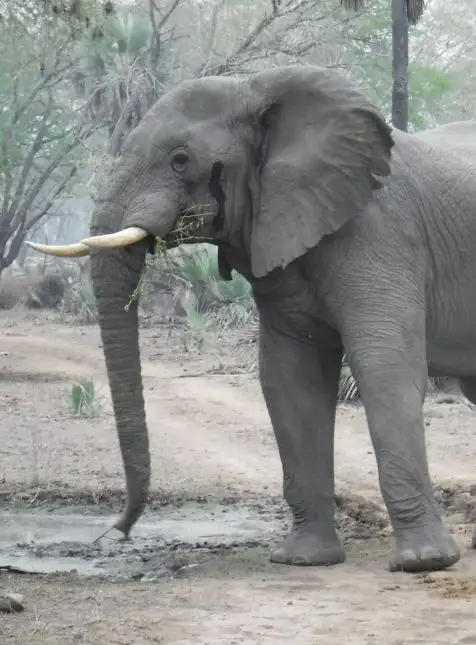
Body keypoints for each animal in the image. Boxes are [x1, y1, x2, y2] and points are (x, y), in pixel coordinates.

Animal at [27, 64, 476, 573]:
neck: (258, 89)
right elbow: (290, 379)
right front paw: (303, 560)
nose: (119, 531)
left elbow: (385, 366)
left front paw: (424, 563)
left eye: (181, 160)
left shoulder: (380, 234)